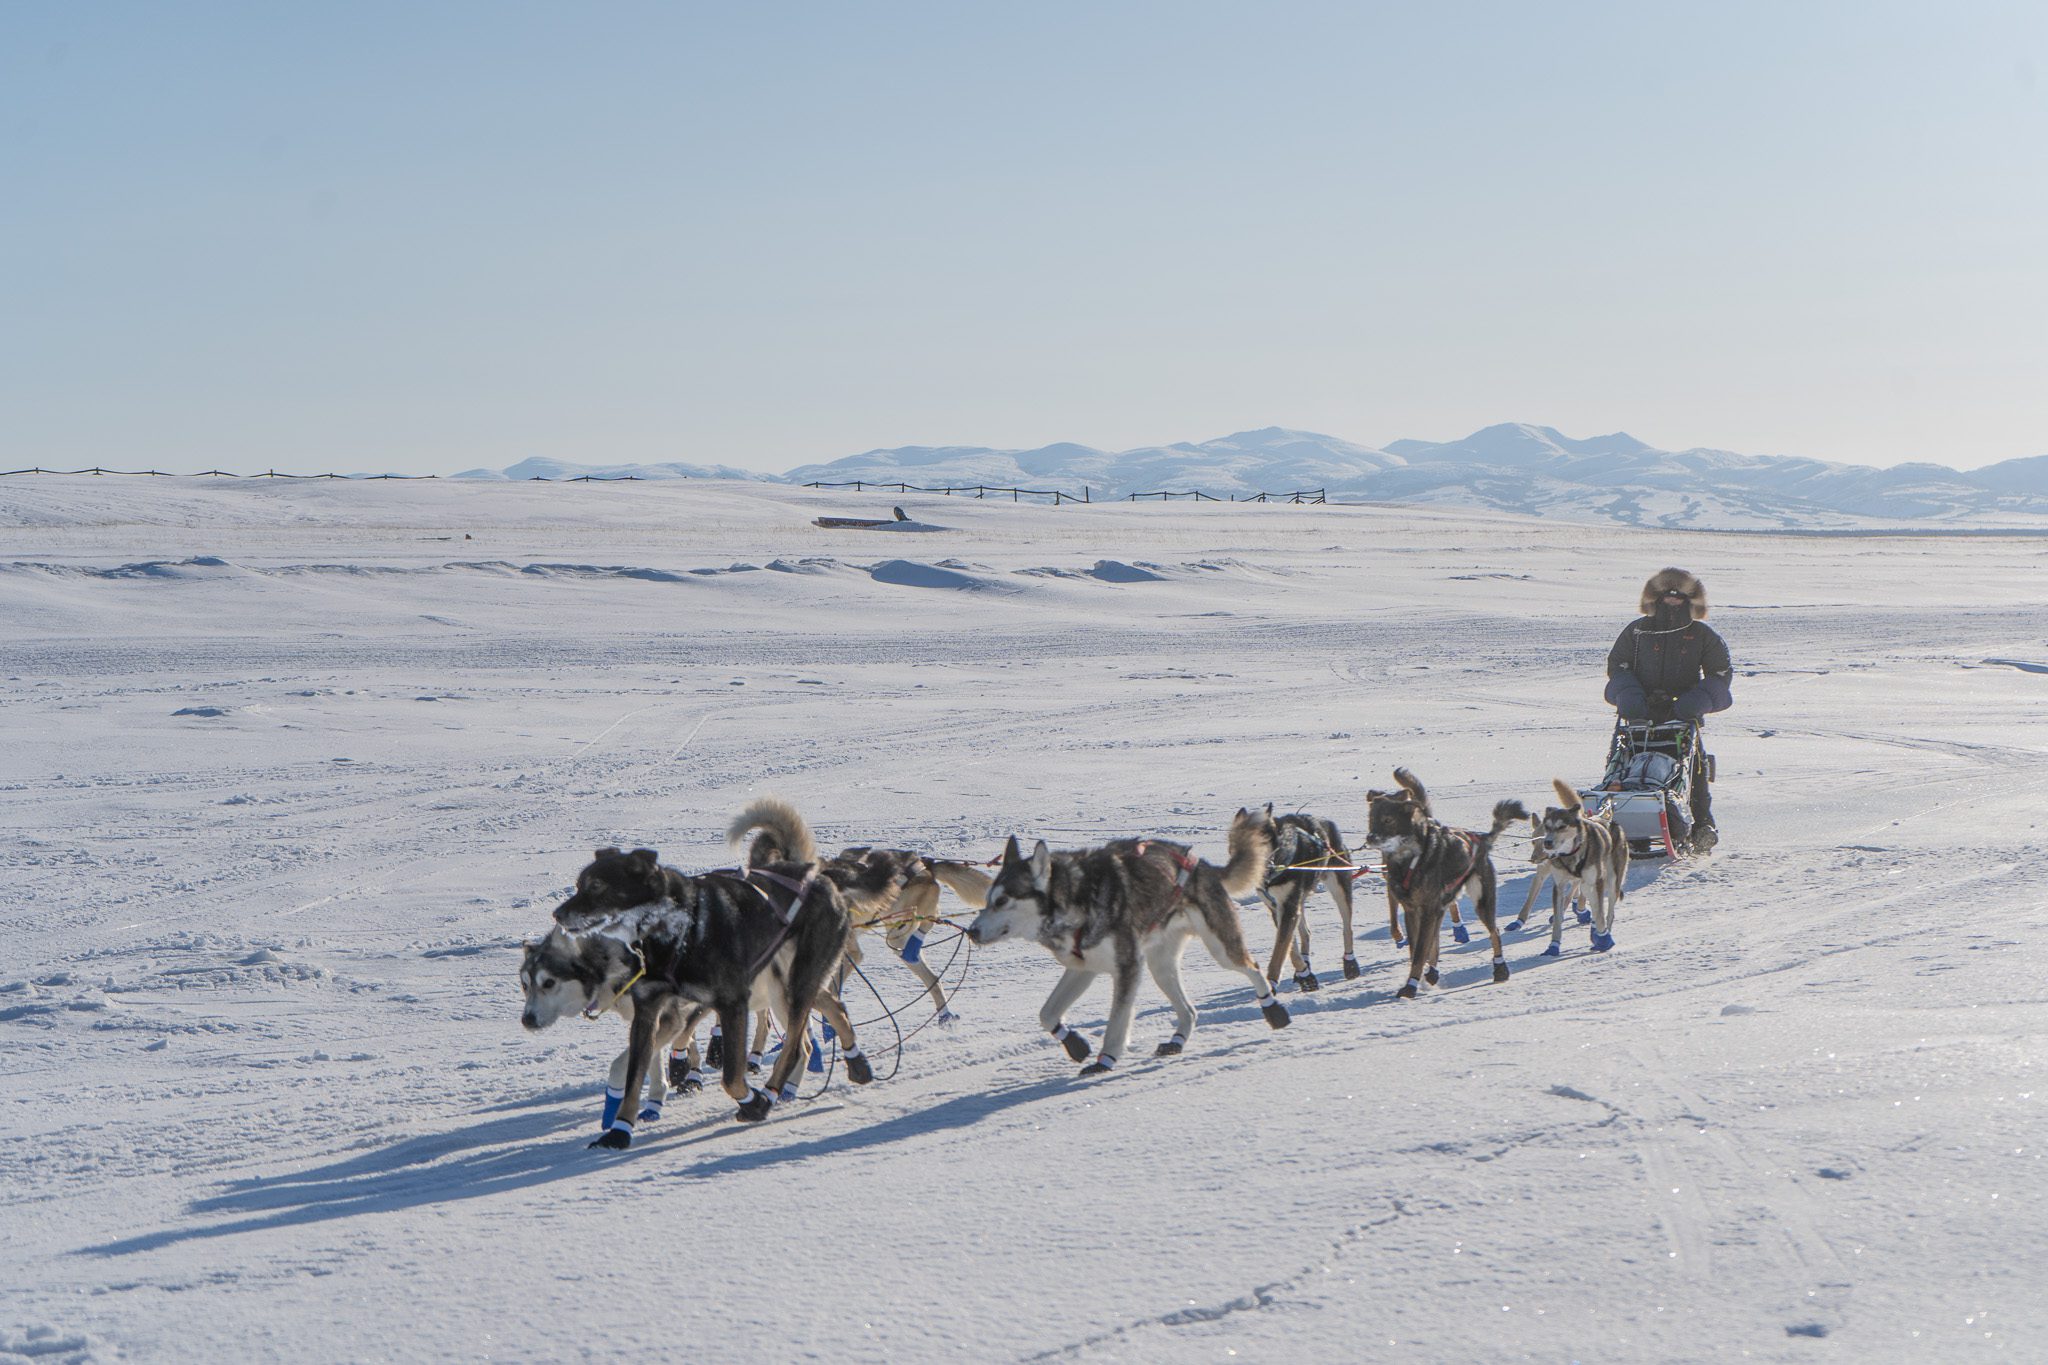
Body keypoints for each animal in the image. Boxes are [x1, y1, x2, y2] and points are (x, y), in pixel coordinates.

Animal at [548, 794, 868, 1146]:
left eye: (596, 886)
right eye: (579, 885)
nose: (557, 914)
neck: (677, 930)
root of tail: (815, 874)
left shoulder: (732, 1003)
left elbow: (731, 1076)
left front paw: (752, 1101)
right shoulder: (648, 1012)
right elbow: (634, 1077)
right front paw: (619, 1132)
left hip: (798, 984)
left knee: (797, 1044)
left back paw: (769, 1095)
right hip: (785, 986)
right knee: (831, 1009)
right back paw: (855, 1062)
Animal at [966, 810, 1286, 1080]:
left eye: (1002, 900)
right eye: (987, 900)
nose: (971, 931)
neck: (1076, 898)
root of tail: (1204, 865)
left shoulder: (1128, 966)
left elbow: (1117, 1021)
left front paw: (1105, 1060)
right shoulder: (1083, 968)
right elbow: (1046, 1013)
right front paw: (1074, 1043)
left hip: (1220, 949)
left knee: (1253, 967)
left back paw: (1273, 1009)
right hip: (1160, 967)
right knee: (1189, 1010)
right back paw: (1176, 1041)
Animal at [1228, 806, 1359, 986]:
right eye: (1234, 843)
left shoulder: (1288, 907)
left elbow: (1280, 949)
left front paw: (1272, 982)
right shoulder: (1276, 907)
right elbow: (1289, 947)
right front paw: (1304, 973)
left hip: (1339, 887)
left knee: (1347, 928)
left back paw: (1350, 963)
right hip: (1300, 899)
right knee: (1306, 932)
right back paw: (1306, 964)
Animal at [1368, 769, 1531, 1002]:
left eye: (1388, 820)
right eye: (1371, 819)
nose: (1370, 837)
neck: (1408, 861)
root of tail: (1481, 839)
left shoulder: (1427, 910)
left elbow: (1420, 952)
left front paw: (1410, 987)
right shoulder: (1413, 911)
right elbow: (1417, 949)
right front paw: (1420, 981)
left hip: (1481, 902)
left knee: (1495, 932)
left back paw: (1500, 969)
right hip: (1441, 908)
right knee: (1436, 942)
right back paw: (1433, 974)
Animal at [1523, 773, 1630, 957]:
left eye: (1562, 826)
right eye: (1547, 827)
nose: (1547, 844)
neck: (1571, 855)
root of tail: (1610, 820)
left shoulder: (1596, 881)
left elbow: (1600, 913)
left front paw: (1604, 940)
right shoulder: (1559, 885)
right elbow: (1558, 918)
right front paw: (1553, 946)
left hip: (1611, 881)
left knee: (1608, 912)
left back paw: (1604, 933)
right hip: (1587, 884)